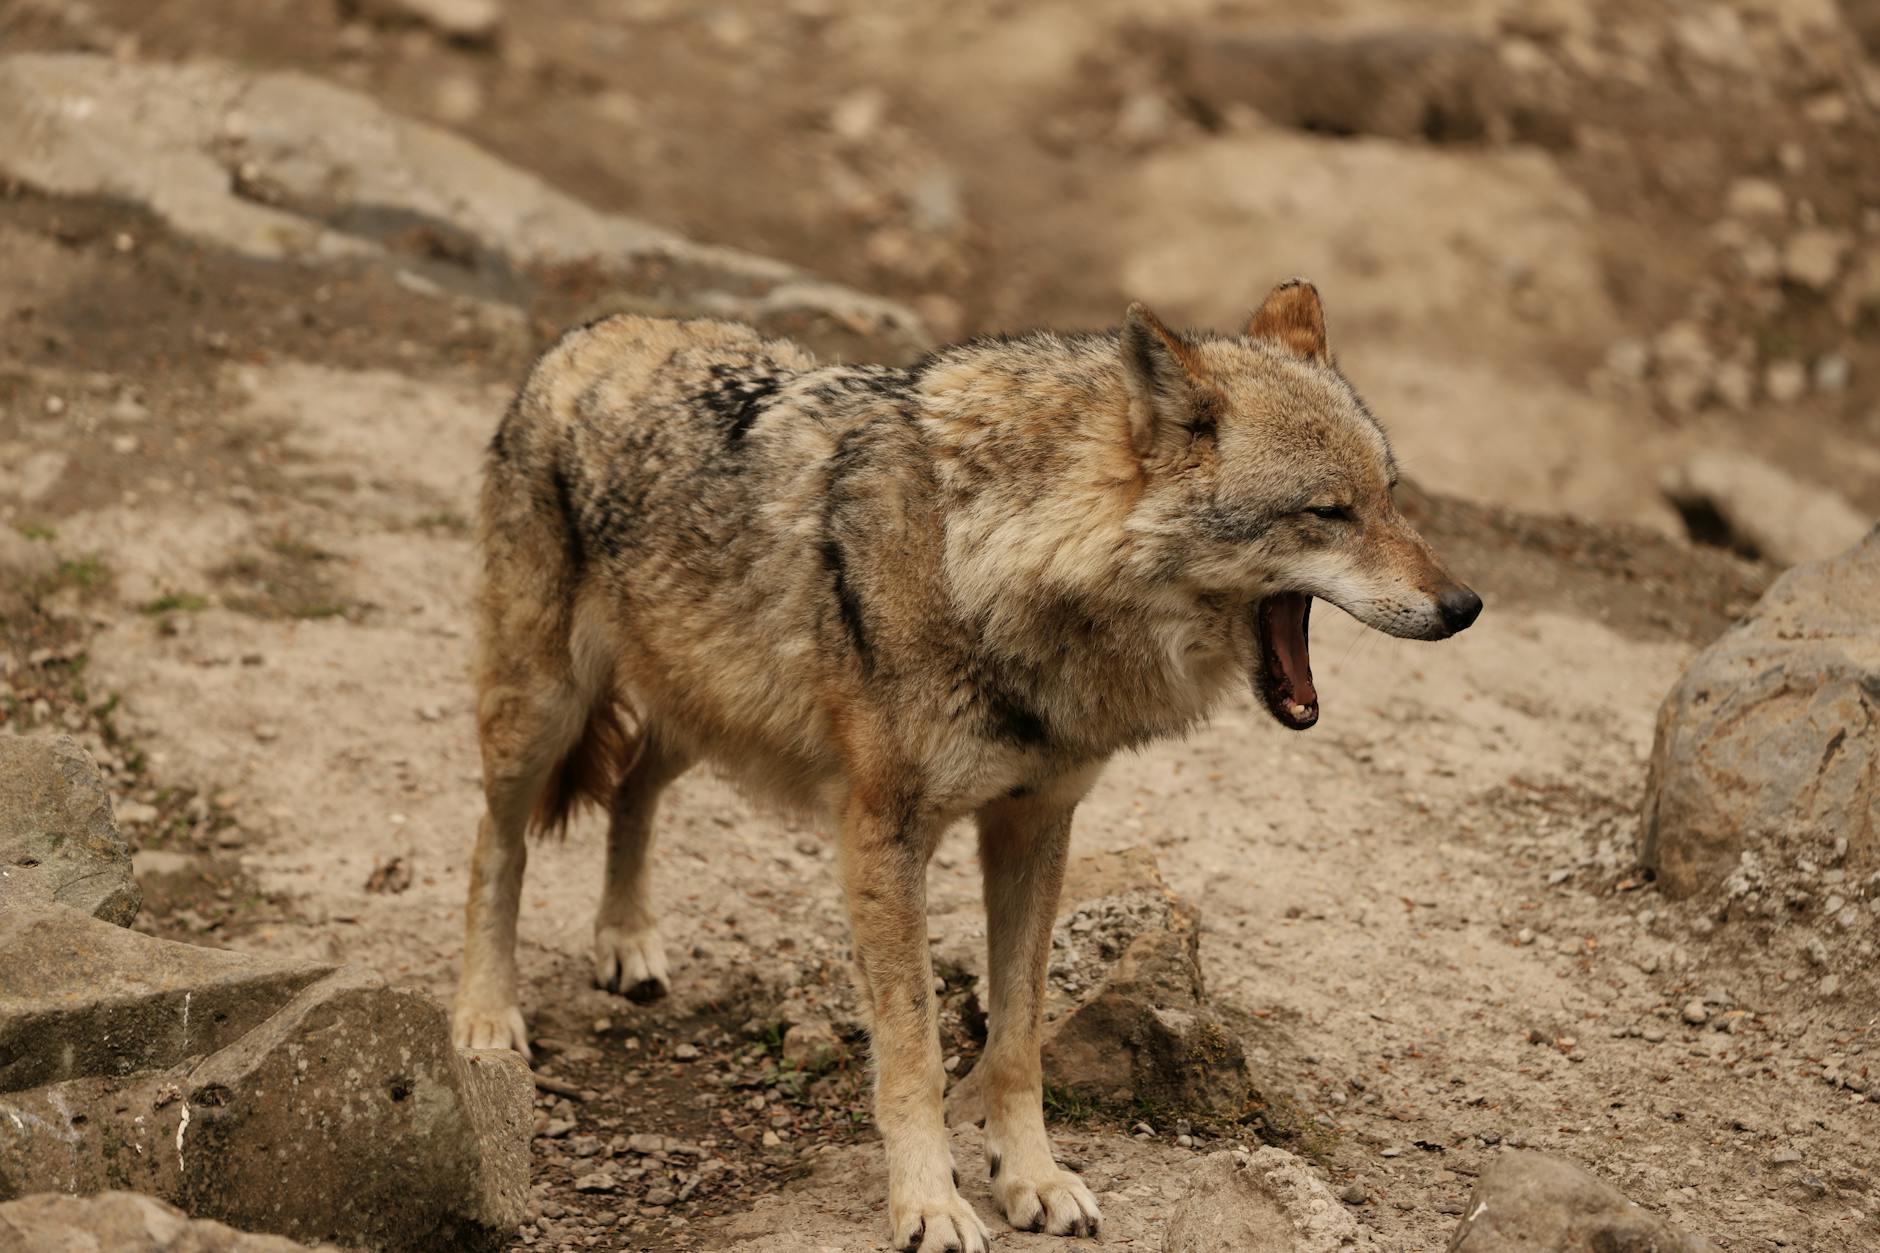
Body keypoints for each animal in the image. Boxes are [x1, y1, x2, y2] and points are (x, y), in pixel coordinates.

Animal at [452, 280, 1480, 1251]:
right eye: (1329, 512)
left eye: (1391, 496)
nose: (1465, 605)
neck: (991, 559)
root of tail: (593, 329)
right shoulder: (882, 833)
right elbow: (913, 1046)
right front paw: (929, 1204)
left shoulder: (1036, 822)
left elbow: (1017, 1038)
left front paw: (1033, 1179)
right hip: (542, 713)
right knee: (495, 845)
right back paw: (486, 1016)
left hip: (698, 714)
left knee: (630, 786)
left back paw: (627, 941)